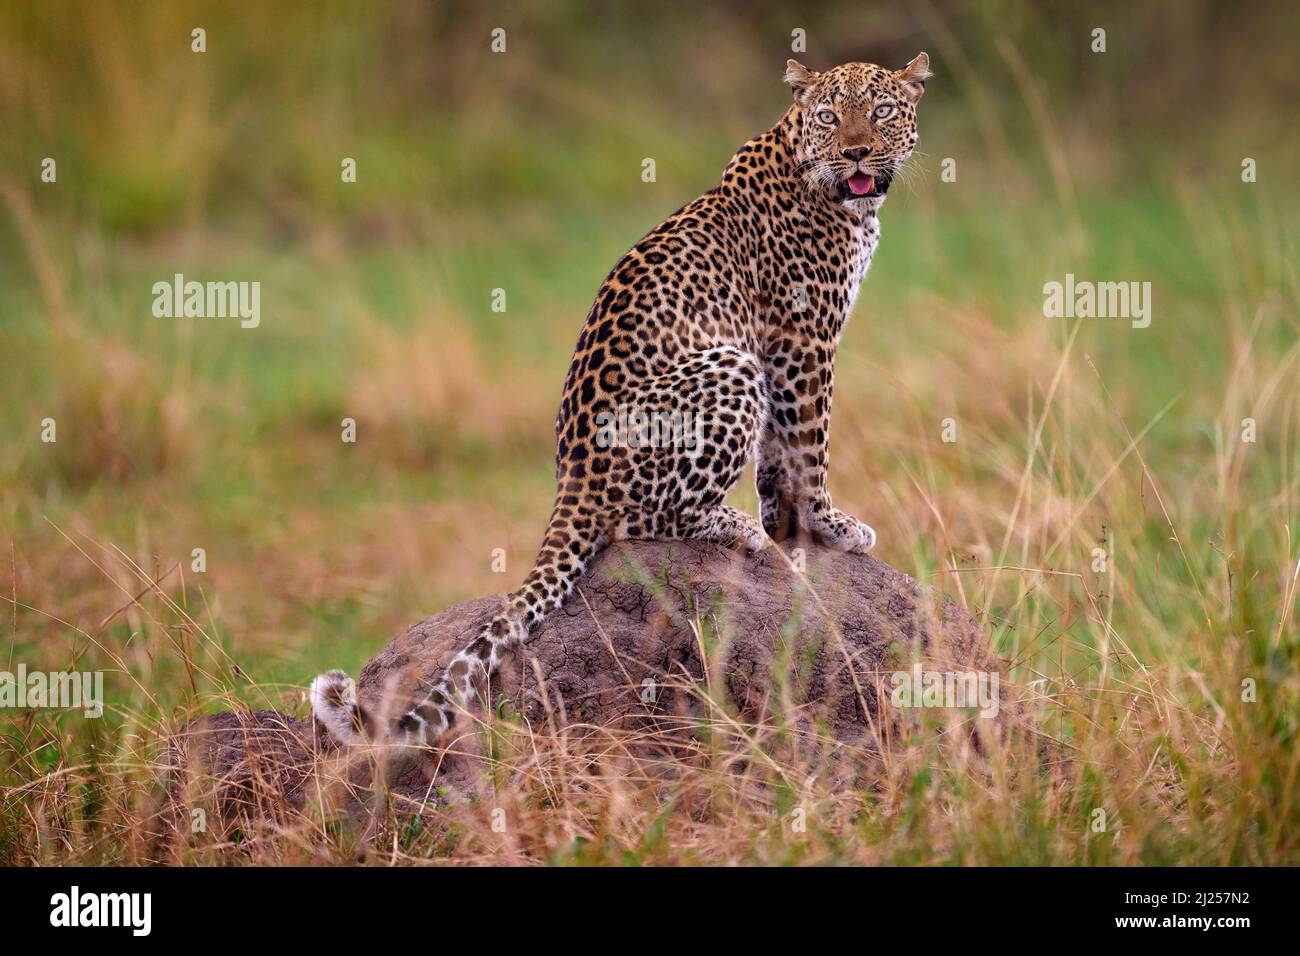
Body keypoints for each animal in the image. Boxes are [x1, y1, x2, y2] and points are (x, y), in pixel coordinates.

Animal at [311, 53, 931, 748]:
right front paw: (828, 524)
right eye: (828, 116)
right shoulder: (800, 340)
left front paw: (789, 528)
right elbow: (808, 443)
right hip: (729, 367)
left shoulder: (788, 347)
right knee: (641, 523)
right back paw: (733, 526)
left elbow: (780, 458)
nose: (856, 151)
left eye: (881, 110)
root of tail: (571, 482)